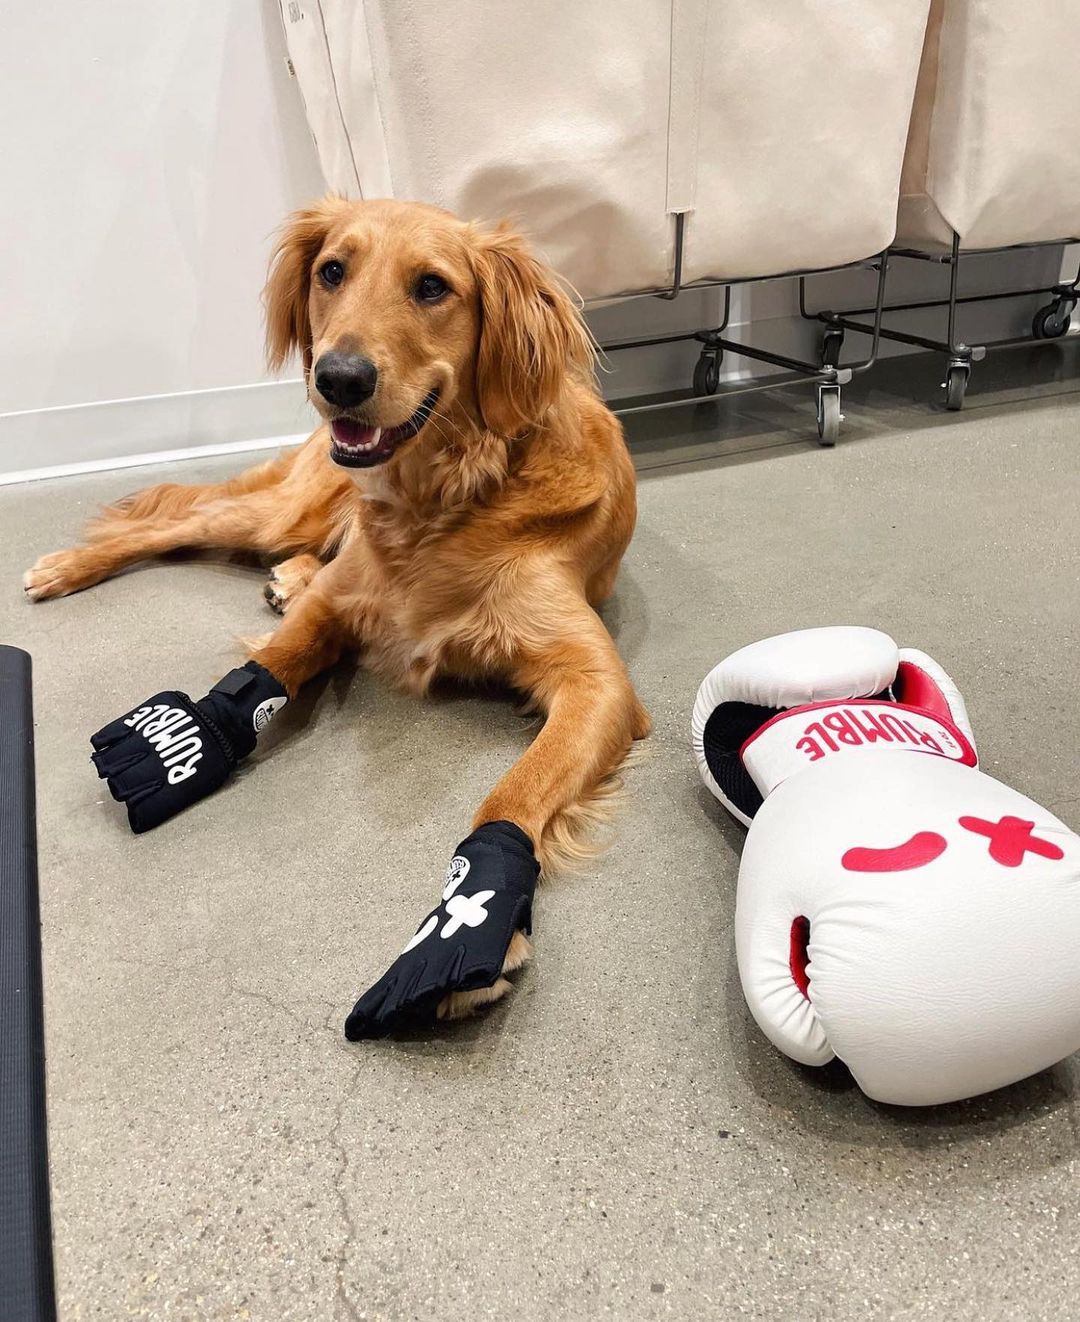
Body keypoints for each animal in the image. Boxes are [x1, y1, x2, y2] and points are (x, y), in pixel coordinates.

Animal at [24, 196, 650, 1028]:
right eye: (331, 271)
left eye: (432, 286)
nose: (339, 378)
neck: (445, 498)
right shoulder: (339, 604)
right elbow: (275, 662)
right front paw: (201, 730)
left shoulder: (596, 680)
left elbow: (515, 790)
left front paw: (472, 919)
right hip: (284, 509)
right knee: (172, 521)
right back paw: (66, 567)